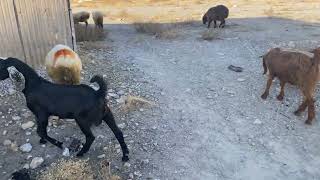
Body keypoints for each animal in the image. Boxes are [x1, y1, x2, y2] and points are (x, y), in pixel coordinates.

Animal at [0, 57, 130, 162]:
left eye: (1, 66)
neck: (33, 85)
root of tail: (97, 93)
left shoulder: (42, 114)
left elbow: (41, 131)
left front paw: (59, 144)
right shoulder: (38, 115)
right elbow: (40, 131)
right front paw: (43, 141)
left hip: (81, 119)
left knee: (90, 137)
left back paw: (81, 153)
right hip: (108, 115)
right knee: (118, 133)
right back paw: (125, 155)